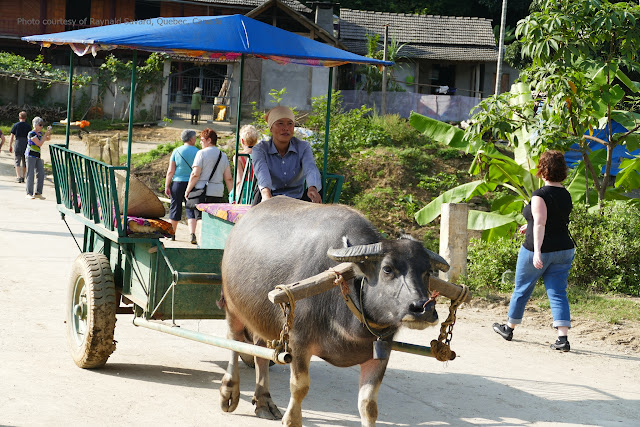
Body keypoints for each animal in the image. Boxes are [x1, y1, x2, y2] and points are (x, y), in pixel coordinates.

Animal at [222, 197, 448, 427]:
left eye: (428, 272)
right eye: (387, 269)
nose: (422, 308)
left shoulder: (381, 352)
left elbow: (368, 405)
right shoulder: (298, 343)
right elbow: (299, 387)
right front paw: (291, 419)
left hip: (259, 318)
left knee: (259, 351)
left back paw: (263, 402)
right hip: (232, 306)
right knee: (233, 341)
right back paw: (229, 391)